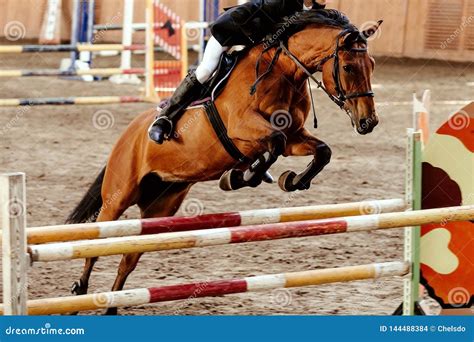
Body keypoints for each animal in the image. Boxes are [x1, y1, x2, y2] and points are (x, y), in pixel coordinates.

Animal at [65, 10, 382, 316]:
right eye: (348, 67)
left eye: (372, 65)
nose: (368, 122)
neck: (283, 71)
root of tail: (128, 134)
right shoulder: (243, 127)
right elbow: (275, 141)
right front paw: (243, 176)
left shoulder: (294, 135)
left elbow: (320, 150)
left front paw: (290, 180)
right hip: (118, 197)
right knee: (96, 245)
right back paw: (79, 293)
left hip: (159, 210)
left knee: (127, 259)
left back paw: (111, 307)